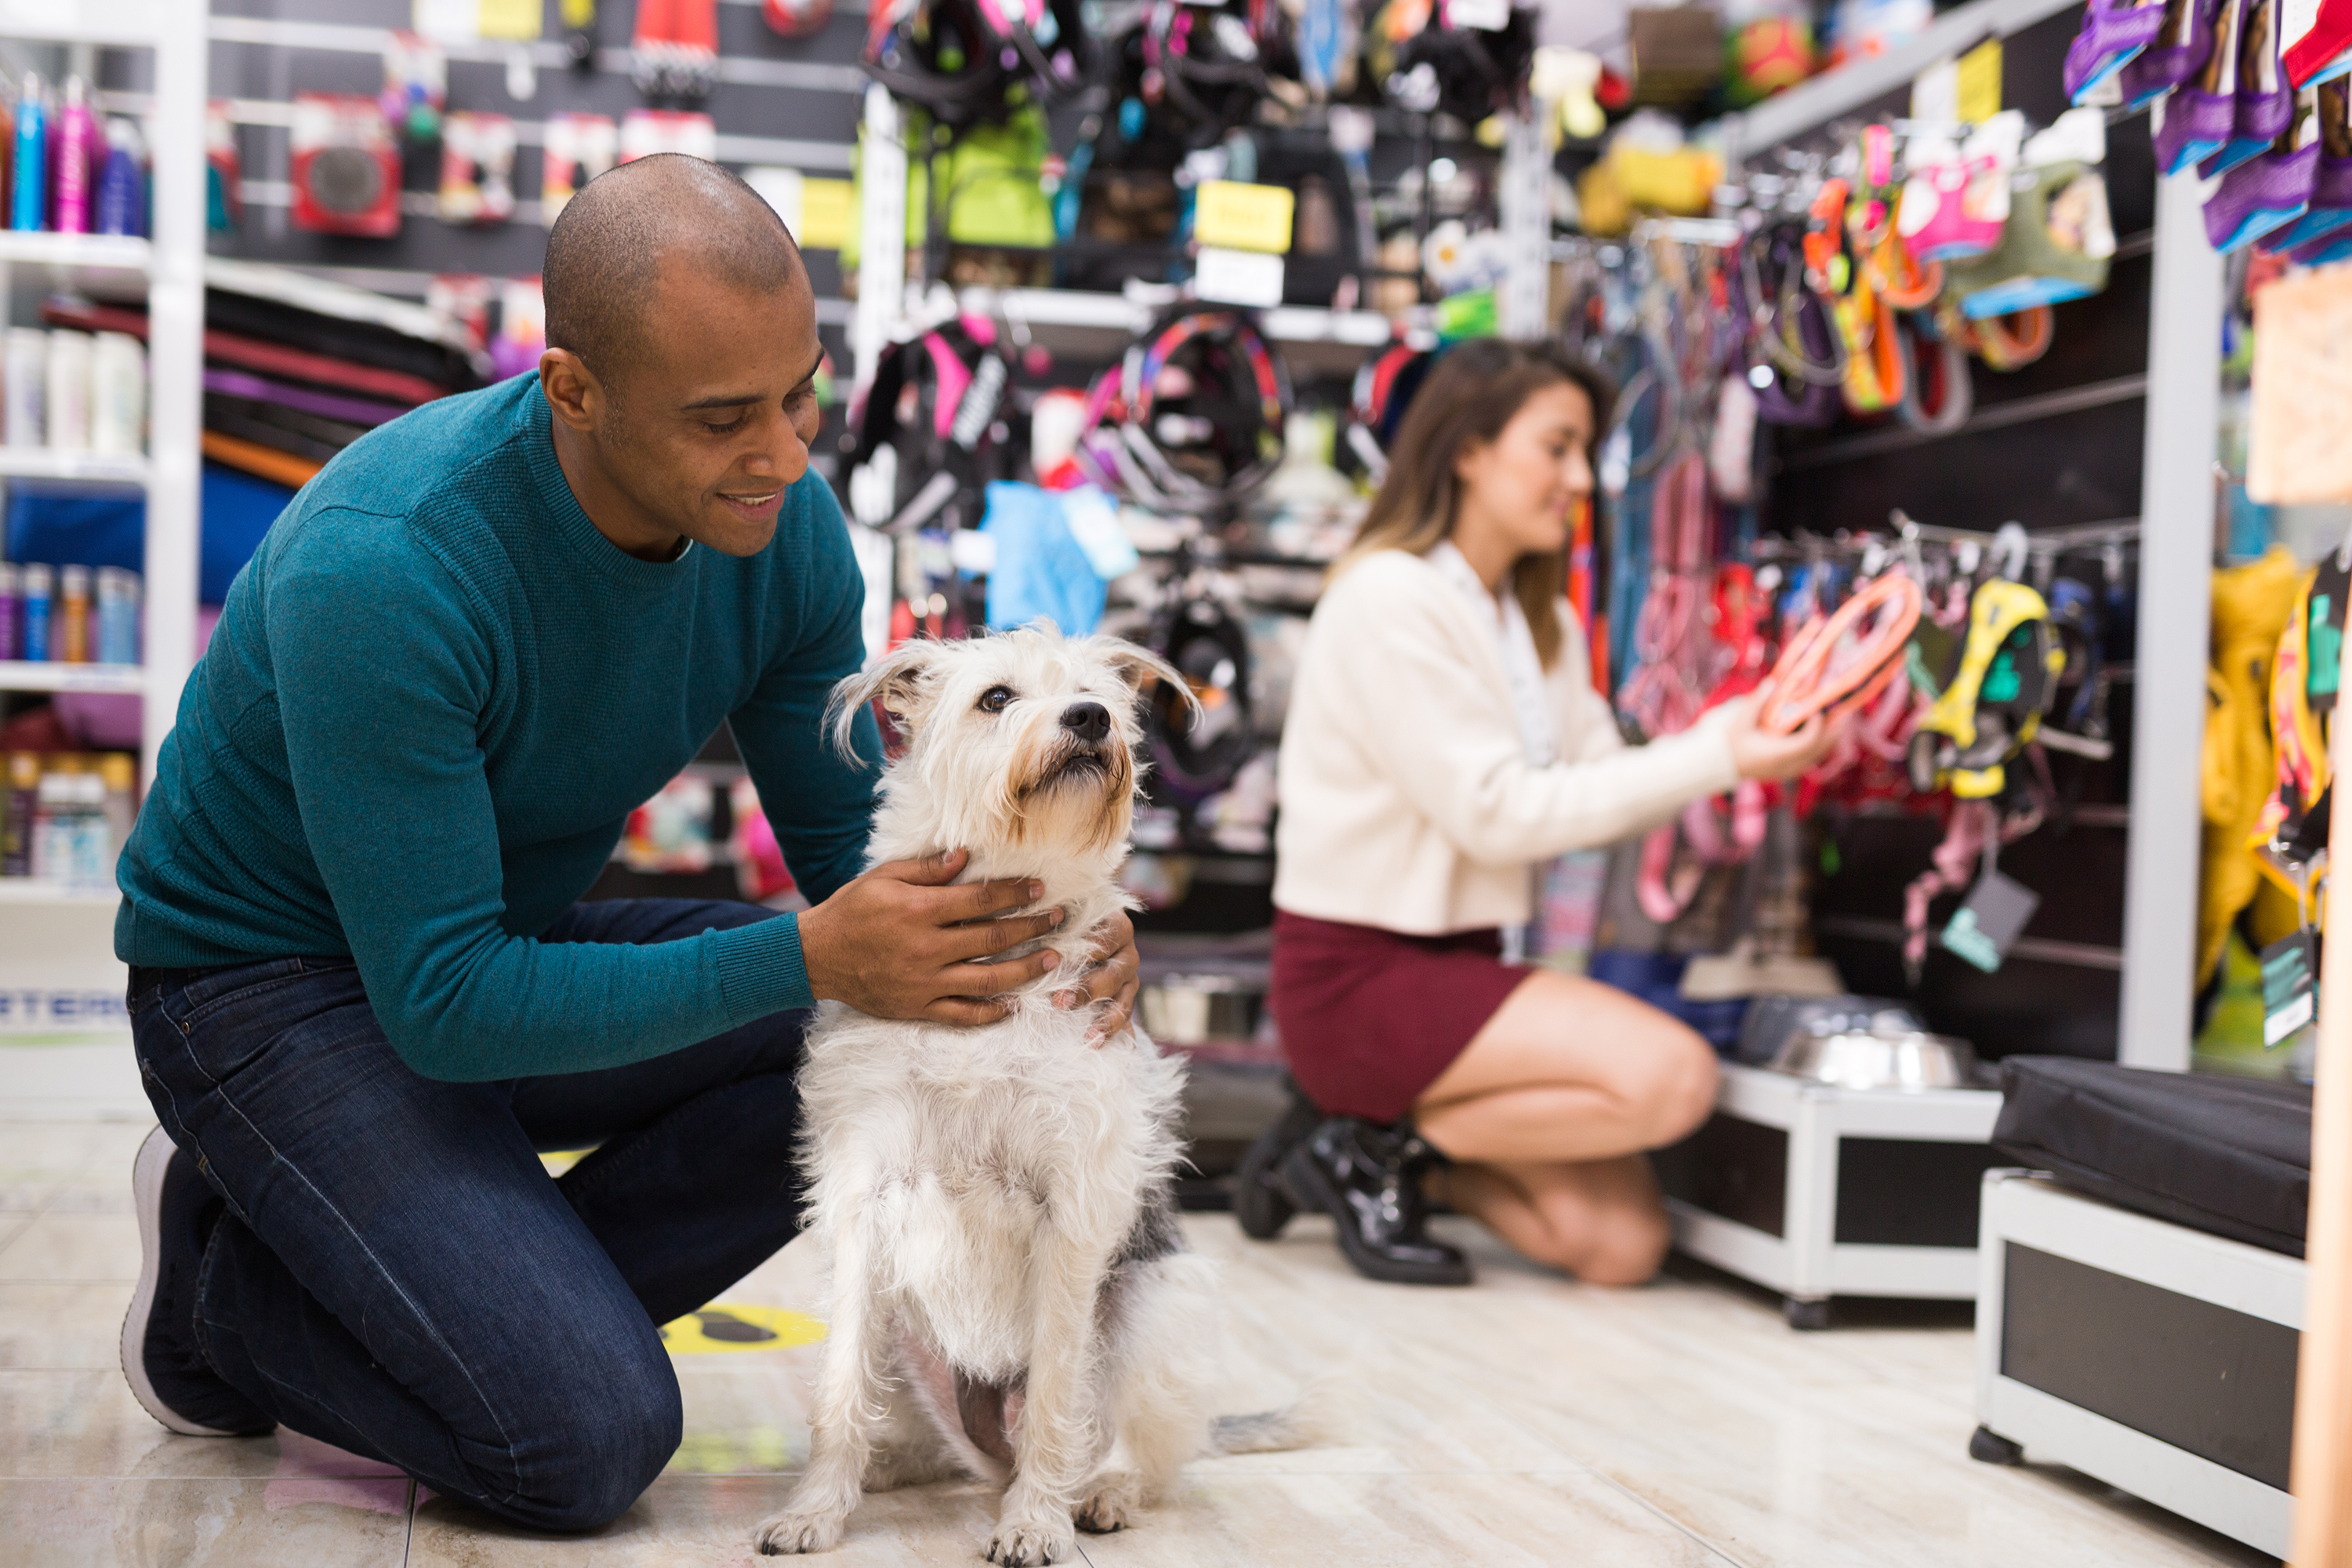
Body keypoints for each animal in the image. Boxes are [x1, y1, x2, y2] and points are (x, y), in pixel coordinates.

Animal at [753, 630, 1298, 1568]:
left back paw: (1096, 1493)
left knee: (1133, 1448)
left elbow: (1054, 1396)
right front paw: (818, 1506)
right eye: (996, 698)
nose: (1089, 719)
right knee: (926, 1435)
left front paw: (1036, 1523)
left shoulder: (1070, 1212)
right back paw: (888, 1467)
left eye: (1101, 698)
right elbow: (839, 1387)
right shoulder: (862, 1201)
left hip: (1155, 1308)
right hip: (907, 1336)